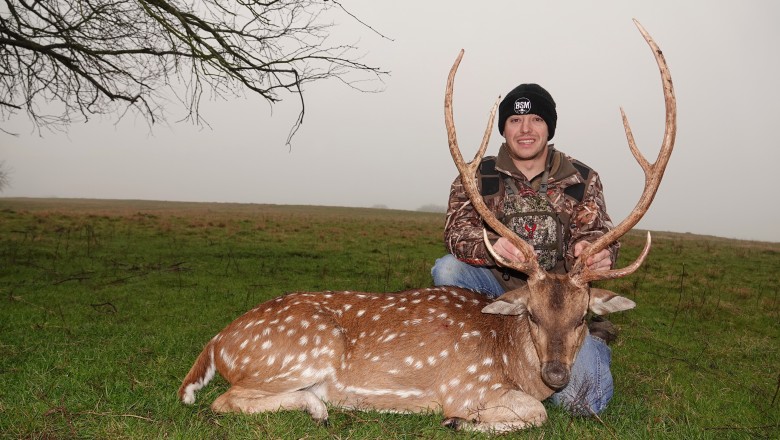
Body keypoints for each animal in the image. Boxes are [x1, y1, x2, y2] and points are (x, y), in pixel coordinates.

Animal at [178, 19, 676, 433]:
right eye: (532, 313)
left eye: (583, 316)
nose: (556, 374)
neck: (509, 357)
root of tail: (217, 343)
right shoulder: (465, 385)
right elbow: (535, 413)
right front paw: (461, 421)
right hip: (302, 351)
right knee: (223, 401)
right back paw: (319, 407)